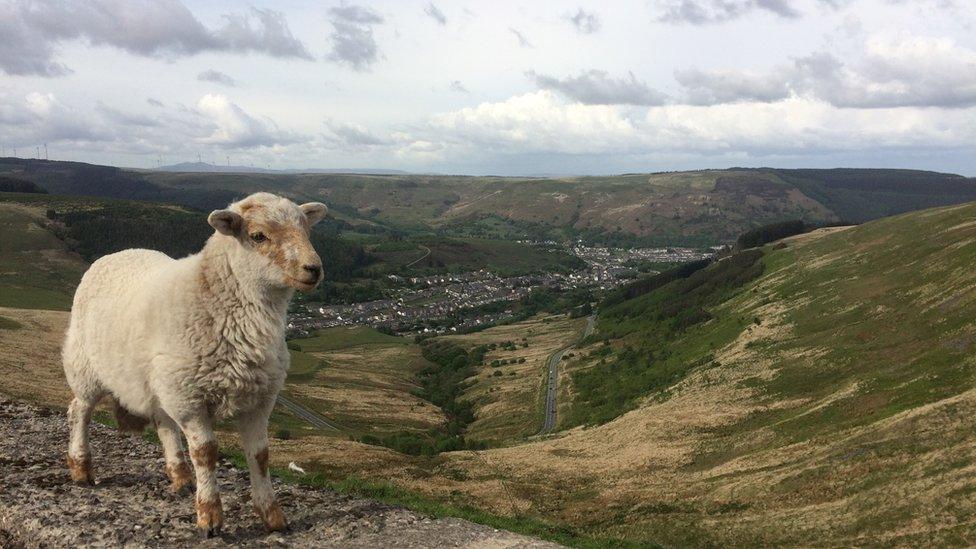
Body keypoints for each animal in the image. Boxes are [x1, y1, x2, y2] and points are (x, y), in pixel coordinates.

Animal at [62, 193, 328, 536]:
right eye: (258, 236)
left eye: (306, 230)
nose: (313, 269)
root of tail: (119, 253)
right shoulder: (190, 399)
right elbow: (206, 452)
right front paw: (210, 516)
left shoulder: (259, 399)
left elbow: (260, 455)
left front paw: (272, 516)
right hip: (86, 367)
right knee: (79, 411)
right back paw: (81, 468)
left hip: (160, 382)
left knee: (163, 423)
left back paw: (181, 476)